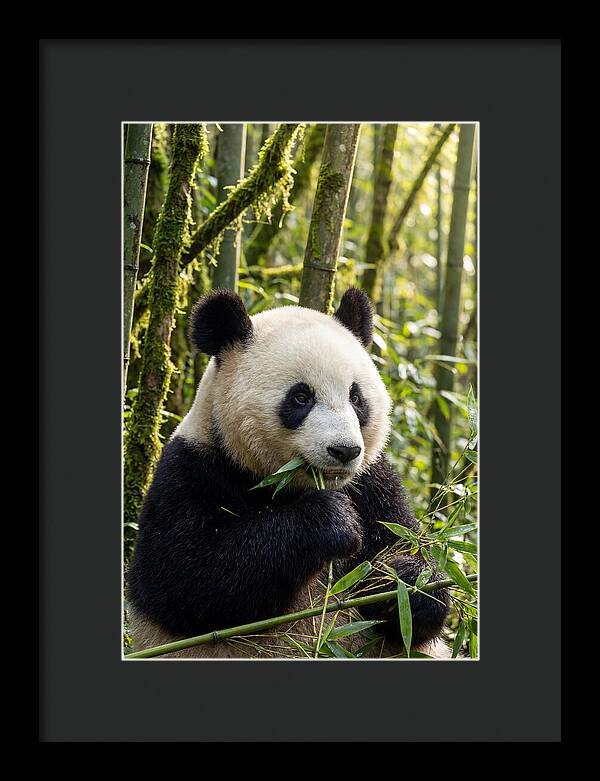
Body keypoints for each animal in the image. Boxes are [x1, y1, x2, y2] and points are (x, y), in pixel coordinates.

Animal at [126, 288, 451, 658]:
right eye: (300, 397)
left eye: (356, 397)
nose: (344, 451)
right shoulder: (190, 472)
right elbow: (188, 580)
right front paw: (332, 520)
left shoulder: (373, 484)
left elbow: (410, 563)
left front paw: (403, 581)